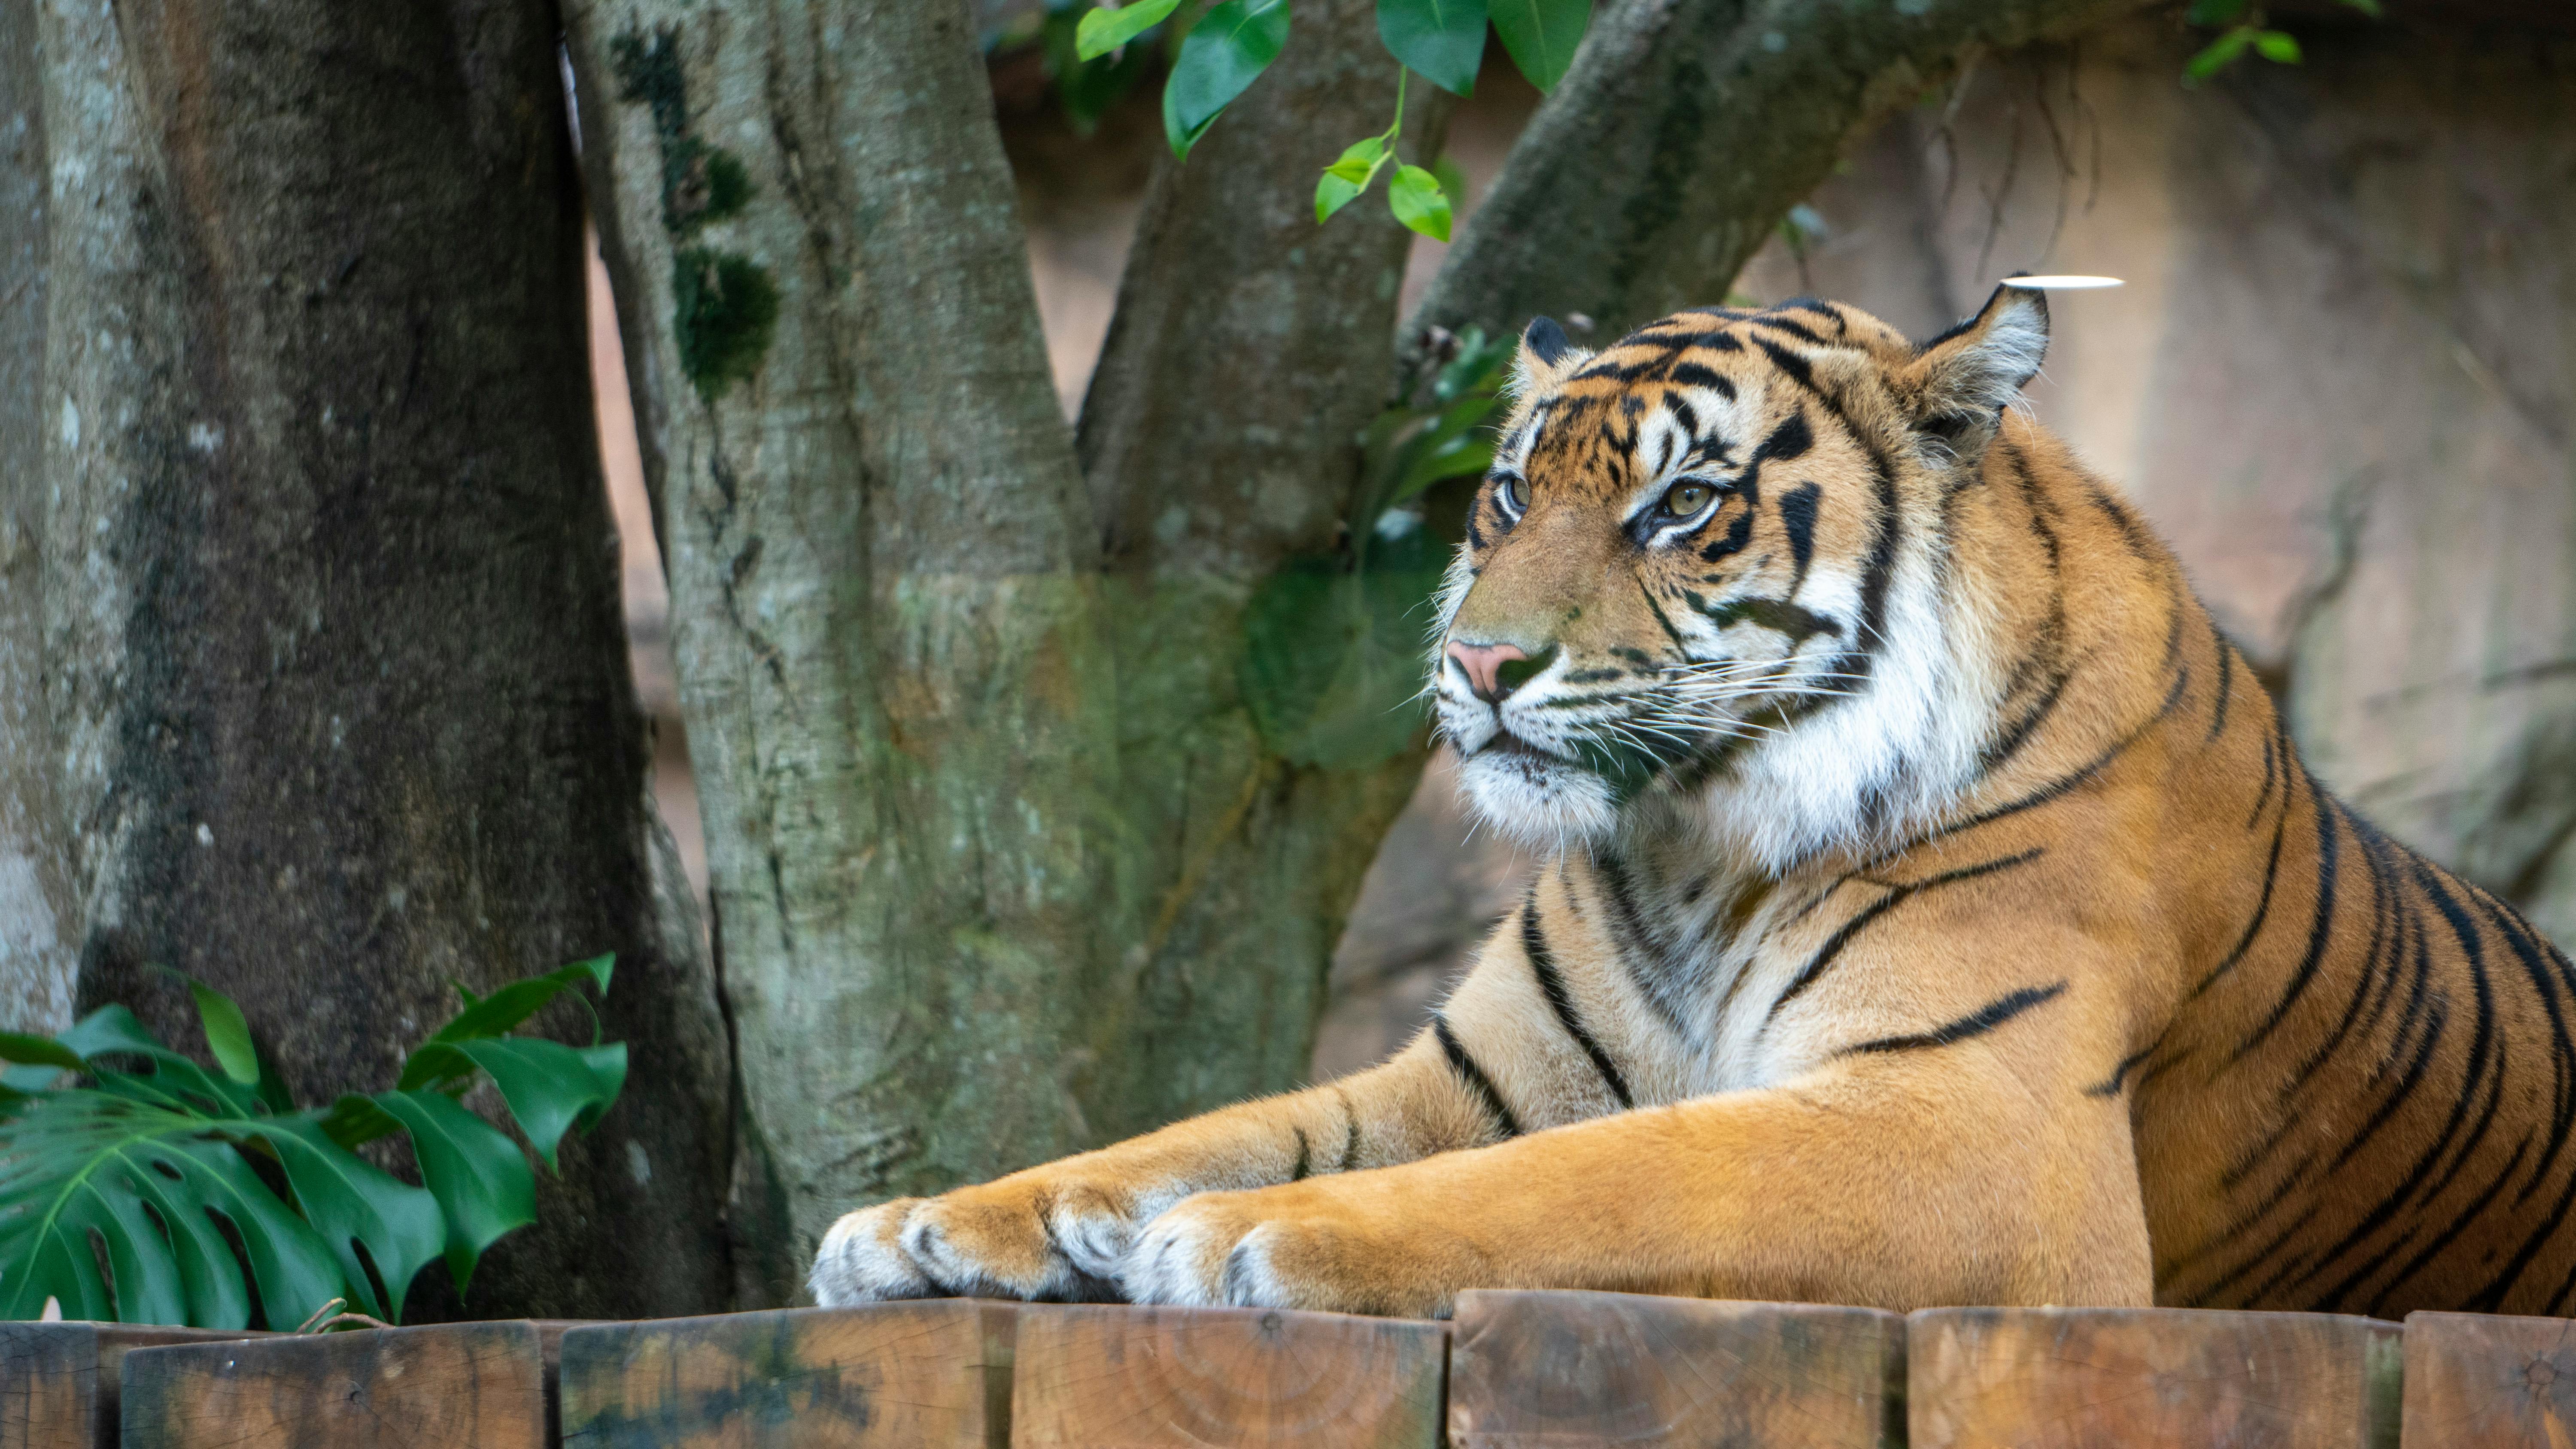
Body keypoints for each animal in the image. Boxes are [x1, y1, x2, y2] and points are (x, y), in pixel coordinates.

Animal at [808, 284, 2576, 1320]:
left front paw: (1252, 1236)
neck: (1691, 842)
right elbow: (1196, 1128)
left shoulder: (1969, 1126)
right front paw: (913, 1224)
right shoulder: (1466, 1074)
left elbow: (1577, 1181)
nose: (1476, 659)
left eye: (1678, 507)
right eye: (1505, 493)